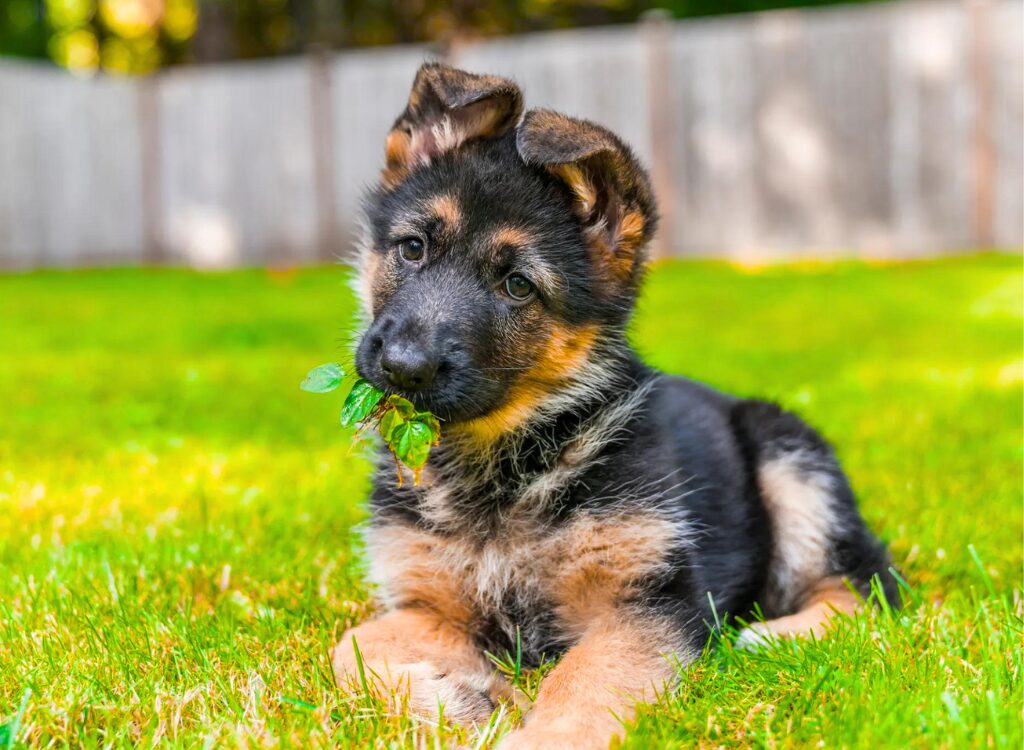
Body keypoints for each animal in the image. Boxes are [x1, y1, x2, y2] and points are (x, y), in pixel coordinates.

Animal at [331, 66, 901, 750]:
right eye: (413, 248)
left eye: (517, 286)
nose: (402, 366)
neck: (502, 465)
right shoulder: (427, 601)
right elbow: (350, 646)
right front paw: (462, 698)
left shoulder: (649, 604)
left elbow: (585, 680)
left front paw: (537, 731)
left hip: (790, 459)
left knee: (869, 586)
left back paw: (773, 636)